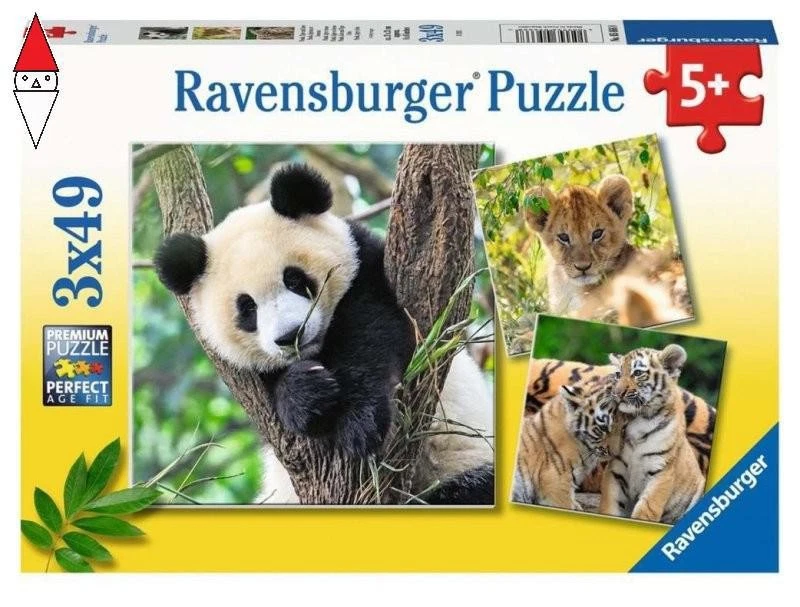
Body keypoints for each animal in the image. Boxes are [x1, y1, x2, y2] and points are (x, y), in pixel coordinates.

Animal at [154, 163, 494, 505]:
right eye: (247, 308)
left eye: (294, 279)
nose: (291, 335)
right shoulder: (248, 378)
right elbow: (272, 397)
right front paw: (306, 393)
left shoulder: (367, 270)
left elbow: (373, 333)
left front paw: (359, 422)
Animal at [599, 345, 705, 523]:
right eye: (618, 374)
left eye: (637, 373)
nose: (617, 393)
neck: (638, 419)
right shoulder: (615, 469)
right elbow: (609, 505)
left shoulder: (661, 471)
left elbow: (646, 510)